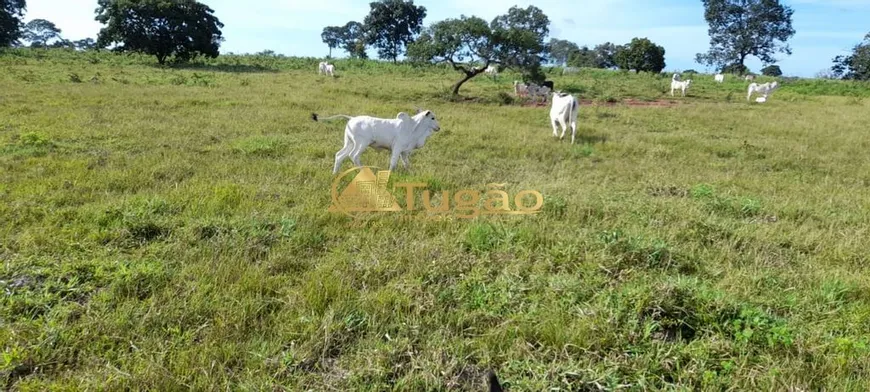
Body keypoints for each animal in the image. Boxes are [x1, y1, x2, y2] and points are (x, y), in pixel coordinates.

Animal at [314, 108, 442, 173]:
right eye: (432, 118)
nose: (438, 128)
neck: (413, 128)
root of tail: (352, 118)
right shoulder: (397, 148)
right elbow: (393, 162)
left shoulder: (404, 151)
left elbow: (406, 163)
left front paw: (411, 173)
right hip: (361, 144)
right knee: (353, 155)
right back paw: (363, 171)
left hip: (349, 142)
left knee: (339, 155)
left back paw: (335, 173)